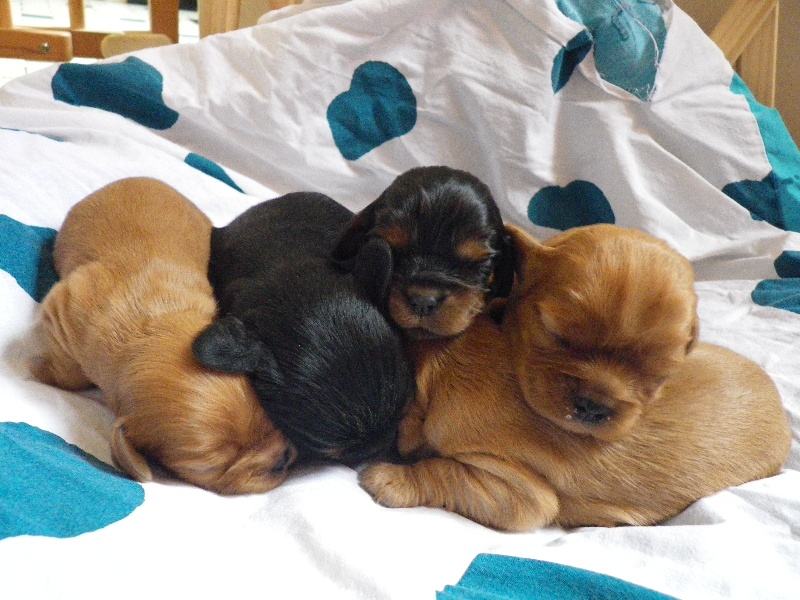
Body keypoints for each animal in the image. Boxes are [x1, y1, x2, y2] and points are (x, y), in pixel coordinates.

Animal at [30, 178, 296, 496]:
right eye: (208, 466)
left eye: (266, 412)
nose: (282, 458)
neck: (152, 329)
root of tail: (141, 178)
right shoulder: (64, 308)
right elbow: (69, 369)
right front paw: (42, 368)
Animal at [358, 224, 792, 528]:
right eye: (557, 336)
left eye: (660, 373)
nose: (594, 408)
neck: (445, 360)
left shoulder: (515, 490)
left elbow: (443, 472)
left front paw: (389, 479)